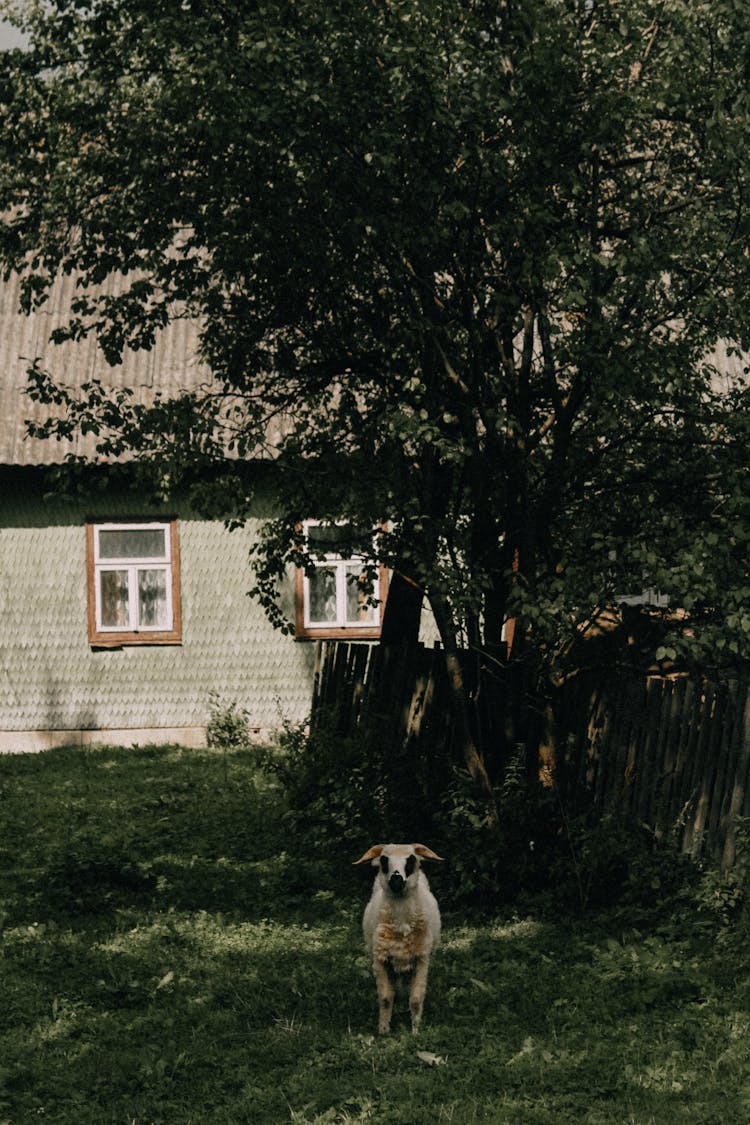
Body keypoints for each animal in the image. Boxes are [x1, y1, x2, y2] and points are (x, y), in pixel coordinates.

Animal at [353, 846, 443, 1035]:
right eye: (384, 859)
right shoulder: (380, 960)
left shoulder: (422, 959)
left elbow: (416, 997)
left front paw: (416, 1029)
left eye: (411, 859)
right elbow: (386, 997)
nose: (396, 878)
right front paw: (383, 1029)